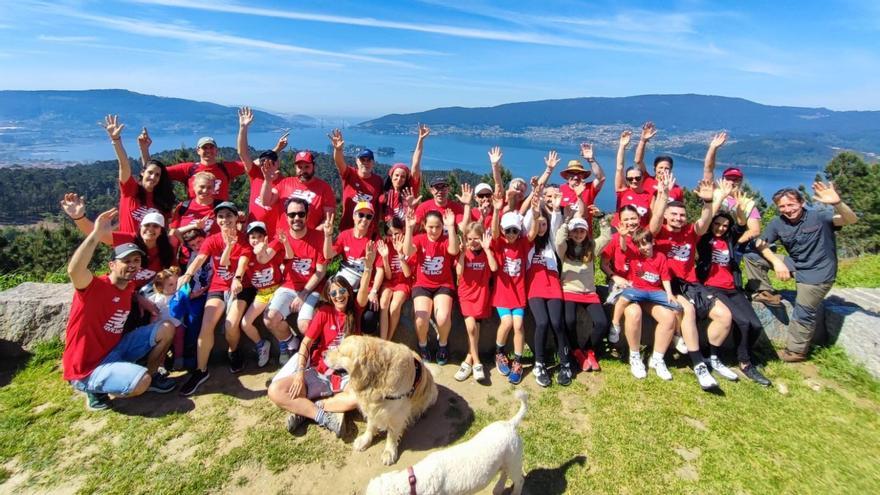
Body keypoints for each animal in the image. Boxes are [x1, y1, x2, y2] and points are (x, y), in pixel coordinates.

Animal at [366, 392, 528, 495]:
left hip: (514, 459)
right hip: (507, 459)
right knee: (504, 472)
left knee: (519, 480)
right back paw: (498, 489)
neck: (414, 482)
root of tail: (510, 424)